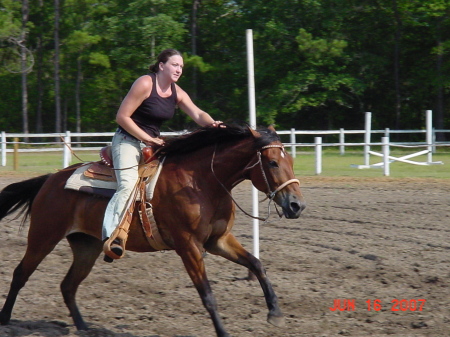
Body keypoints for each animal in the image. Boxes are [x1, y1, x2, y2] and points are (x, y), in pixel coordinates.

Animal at [0, 124, 306, 336]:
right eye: (273, 162)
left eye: (291, 161)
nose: (297, 205)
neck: (201, 182)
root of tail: (50, 179)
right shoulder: (188, 246)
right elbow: (207, 295)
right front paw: (223, 331)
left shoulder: (218, 240)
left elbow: (256, 264)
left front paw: (275, 313)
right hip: (43, 237)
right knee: (20, 274)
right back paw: (5, 320)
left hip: (86, 246)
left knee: (68, 285)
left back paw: (84, 327)